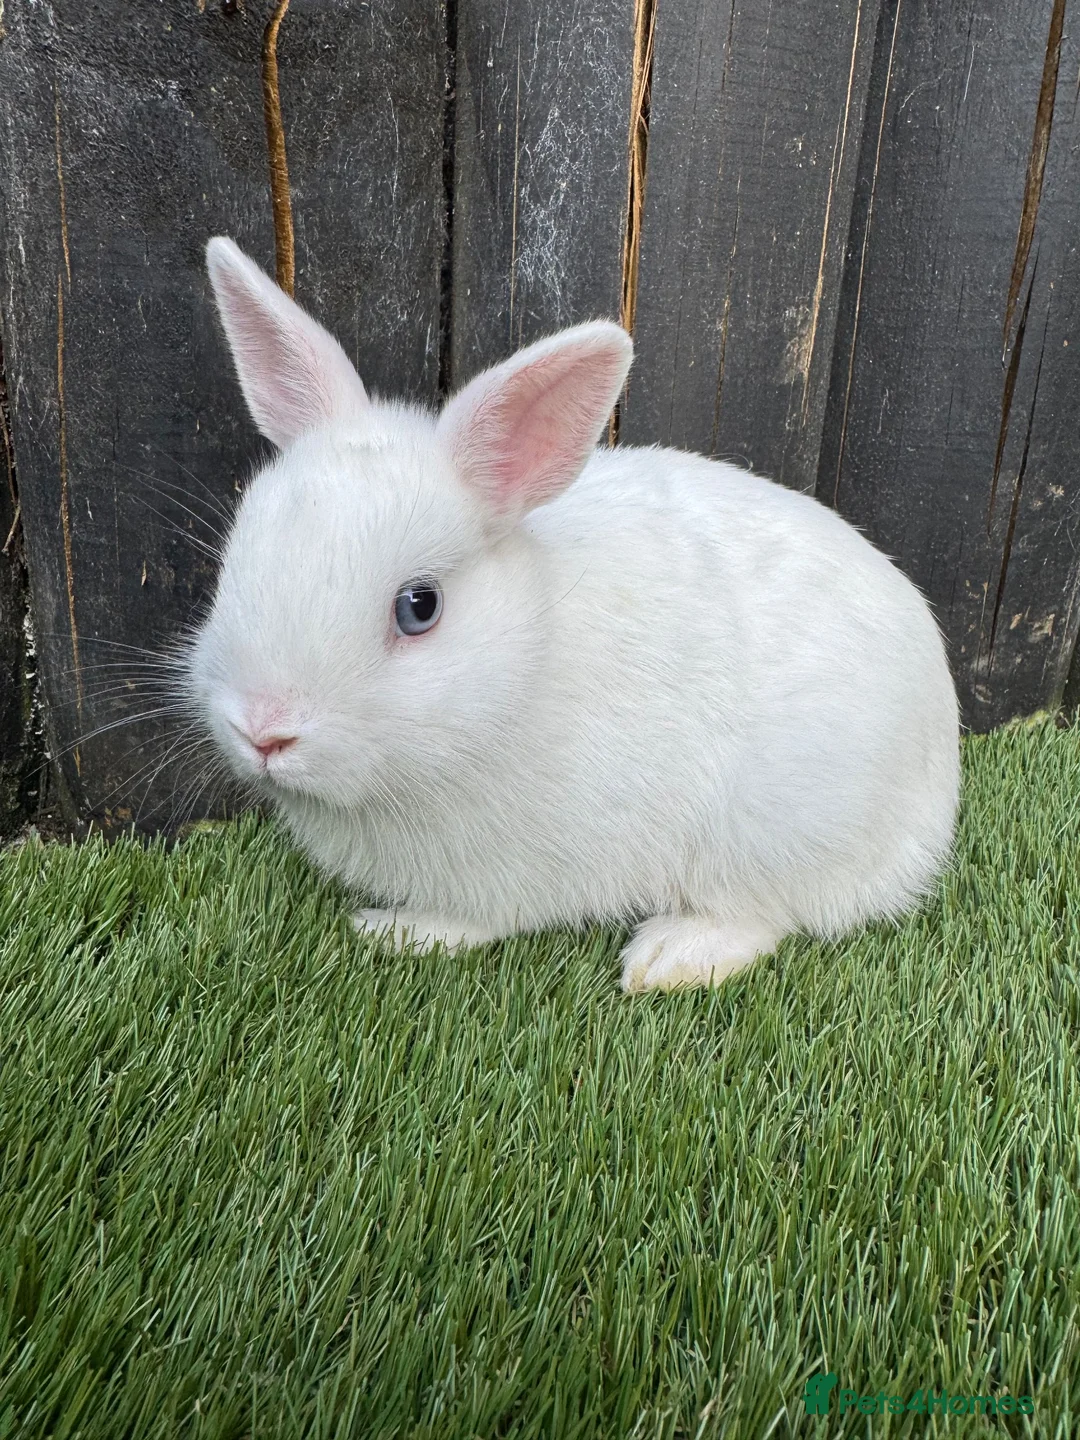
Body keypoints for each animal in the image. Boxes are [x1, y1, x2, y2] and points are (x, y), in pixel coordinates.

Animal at [186, 236, 960, 992]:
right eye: (237, 557)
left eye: (419, 607)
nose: (263, 730)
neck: (522, 667)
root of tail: (940, 784)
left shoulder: (510, 874)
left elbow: (474, 921)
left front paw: (394, 932)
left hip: (775, 836)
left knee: (769, 916)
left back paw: (669, 958)